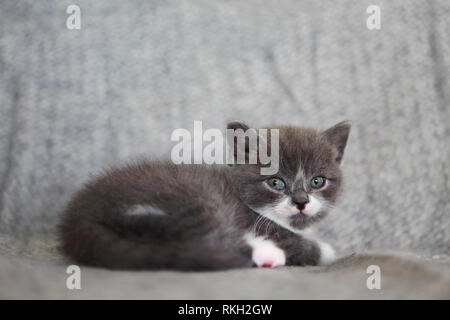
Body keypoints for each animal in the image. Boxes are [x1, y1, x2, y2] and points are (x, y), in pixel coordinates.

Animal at [58, 121, 350, 272]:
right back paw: (266, 253)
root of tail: (79, 217)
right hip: (194, 199)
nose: (301, 202)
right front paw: (324, 249)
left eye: (317, 181)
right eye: (276, 182)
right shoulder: (257, 222)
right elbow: (303, 244)